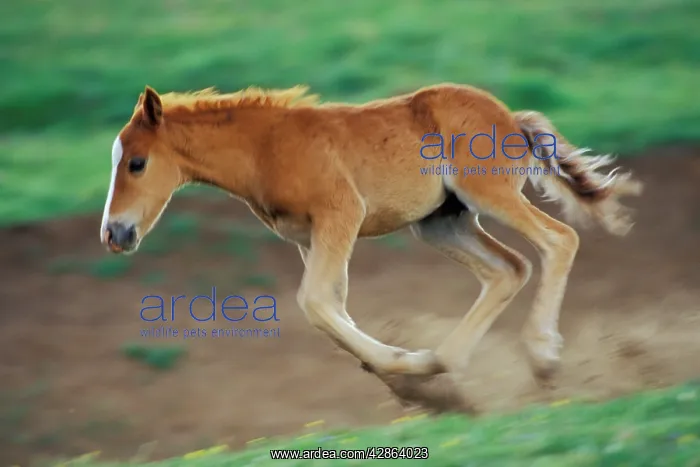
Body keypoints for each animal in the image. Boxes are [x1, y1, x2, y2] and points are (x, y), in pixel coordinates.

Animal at [100, 83, 642, 412]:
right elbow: (332, 306)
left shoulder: (341, 214)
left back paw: (542, 359)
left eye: (137, 163)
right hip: (439, 223)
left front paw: (402, 369)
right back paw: (443, 366)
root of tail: (511, 117)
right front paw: (414, 384)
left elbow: (315, 302)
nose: (113, 233)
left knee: (559, 240)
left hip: (488, 193)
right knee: (508, 268)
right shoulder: (309, 238)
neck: (264, 148)